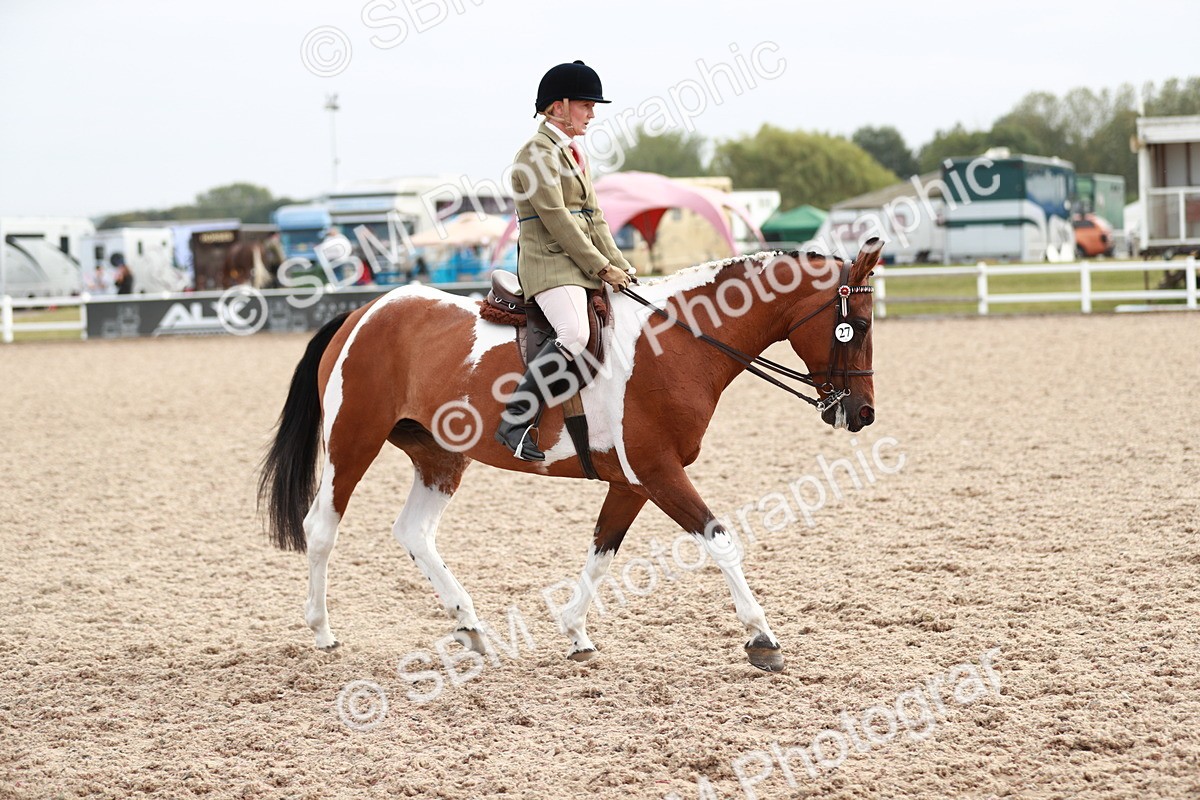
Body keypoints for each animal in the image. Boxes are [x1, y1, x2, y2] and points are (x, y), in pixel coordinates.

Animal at [258, 239, 882, 672]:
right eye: (857, 325)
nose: (863, 415)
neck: (678, 341)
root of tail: (362, 313)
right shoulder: (659, 472)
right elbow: (721, 541)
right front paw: (762, 638)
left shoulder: (632, 482)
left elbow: (602, 553)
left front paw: (576, 634)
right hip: (352, 441)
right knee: (321, 529)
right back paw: (322, 630)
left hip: (439, 458)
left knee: (414, 532)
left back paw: (470, 626)